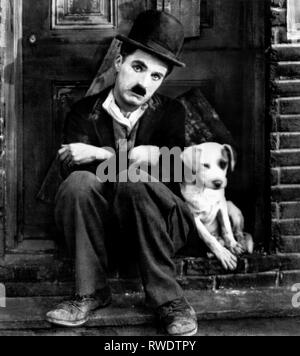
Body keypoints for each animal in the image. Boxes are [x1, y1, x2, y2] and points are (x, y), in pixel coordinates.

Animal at [180, 142, 253, 270]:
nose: (218, 183)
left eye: (223, 164)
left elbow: (227, 228)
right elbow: (208, 238)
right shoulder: (194, 218)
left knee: (238, 232)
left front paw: (233, 245)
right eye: (205, 165)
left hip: (232, 209)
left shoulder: (222, 208)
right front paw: (223, 254)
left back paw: (239, 243)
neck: (205, 191)